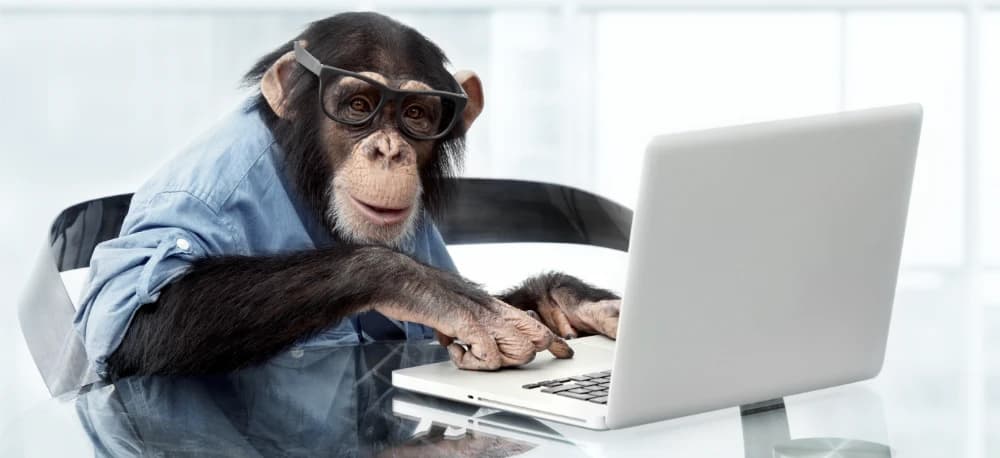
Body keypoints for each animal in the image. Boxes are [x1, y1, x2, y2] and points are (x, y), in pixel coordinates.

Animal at [75, 12, 622, 381]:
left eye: (417, 115)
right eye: (359, 106)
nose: (389, 150)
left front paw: (568, 300)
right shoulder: (204, 190)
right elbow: (134, 316)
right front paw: (436, 292)